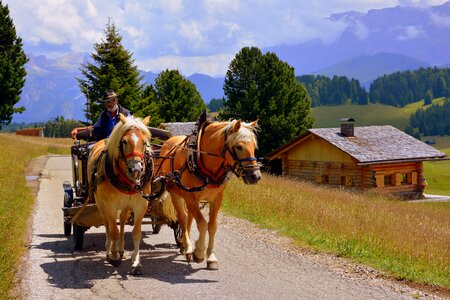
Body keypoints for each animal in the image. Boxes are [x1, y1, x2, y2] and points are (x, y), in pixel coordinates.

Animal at [87, 113, 154, 274]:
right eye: (124, 141)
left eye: (144, 142)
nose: (136, 169)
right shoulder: (110, 206)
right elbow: (114, 231)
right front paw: (114, 255)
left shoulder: (141, 205)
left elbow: (136, 232)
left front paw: (136, 262)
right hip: (101, 204)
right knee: (107, 223)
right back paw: (109, 248)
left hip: (125, 205)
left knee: (122, 221)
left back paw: (122, 248)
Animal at [156, 112, 262, 270]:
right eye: (239, 146)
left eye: (254, 146)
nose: (255, 176)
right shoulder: (190, 197)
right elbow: (202, 224)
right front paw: (199, 253)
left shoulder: (216, 198)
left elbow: (212, 226)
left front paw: (211, 257)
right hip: (177, 194)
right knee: (182, 218)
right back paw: (187, 246)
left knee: (188, 218)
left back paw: (184, 246)